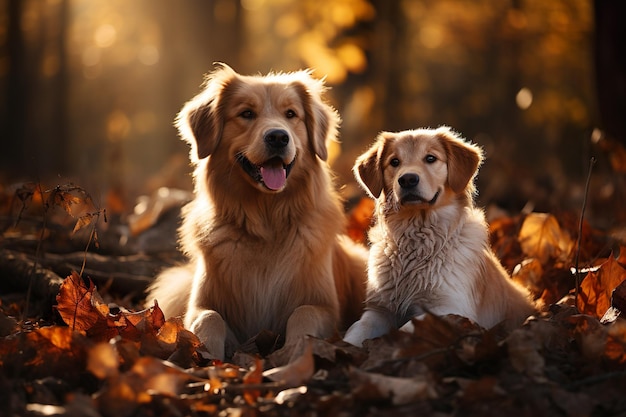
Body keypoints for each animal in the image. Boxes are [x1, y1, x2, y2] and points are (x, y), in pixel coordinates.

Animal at [147, 63, 366, 360]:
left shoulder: (324, 307)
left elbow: (304, 313)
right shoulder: (200, 305)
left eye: (290, 114)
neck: (266, 221)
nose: (278, 137)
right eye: (247, 113)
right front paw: (208, 357)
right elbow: (208, 318)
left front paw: (293, 353)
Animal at [342, 126, 532, 344]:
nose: (407, 179)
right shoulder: (379, 309)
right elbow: (357, 330)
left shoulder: (450, 307)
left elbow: (406, 328)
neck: (417, 237)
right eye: (394, 162)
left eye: (430, 158)